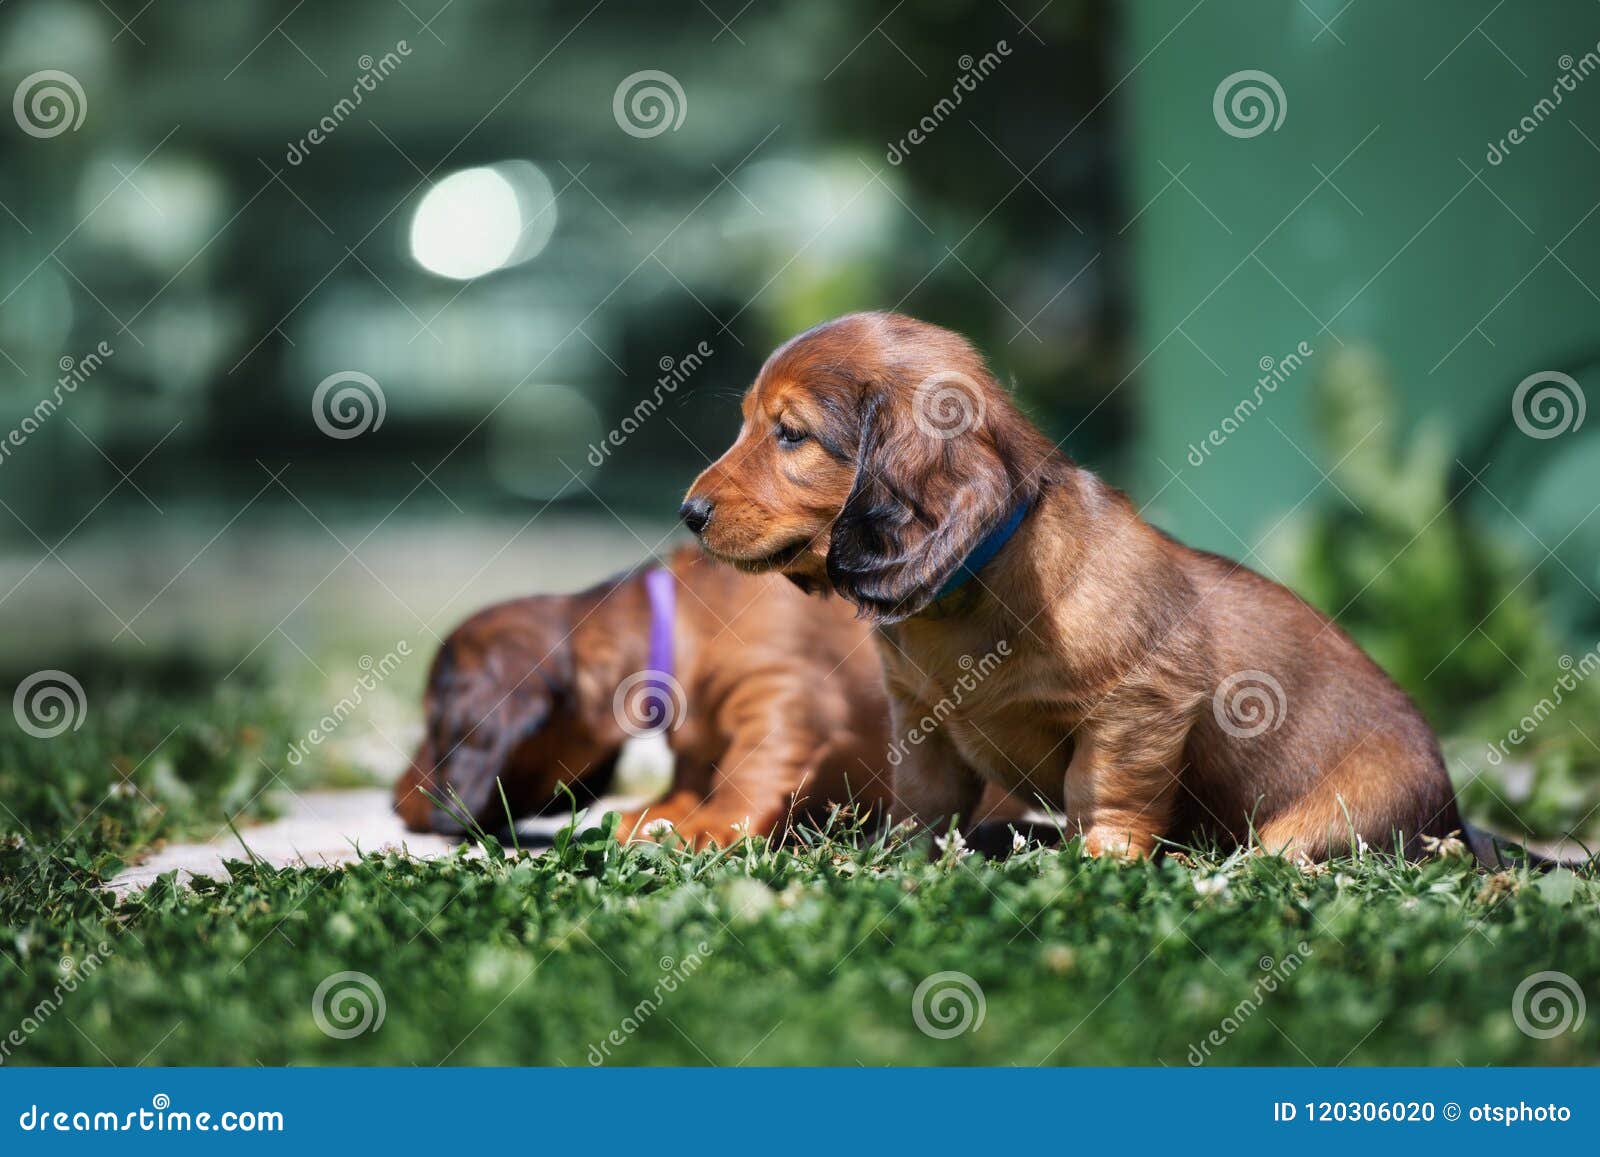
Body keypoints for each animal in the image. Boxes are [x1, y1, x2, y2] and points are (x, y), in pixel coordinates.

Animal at [395, 544, 1030, 851]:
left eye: (435, 724)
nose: (395, 803)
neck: (683, 622)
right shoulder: (698, 736)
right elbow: (693, 774)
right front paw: (664, 813)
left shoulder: (781, 692)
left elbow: (749, 768)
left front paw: (712, 825)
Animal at [681, 312, 1465, 864]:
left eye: (790, 434)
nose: (688, 513)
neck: (976, 587)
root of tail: (1457, 818)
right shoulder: (918, 716)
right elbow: (925, 803)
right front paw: (898, 862)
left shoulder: (1139, 708)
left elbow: (1103, 791)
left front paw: (1101, 863)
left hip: (1322, 822)